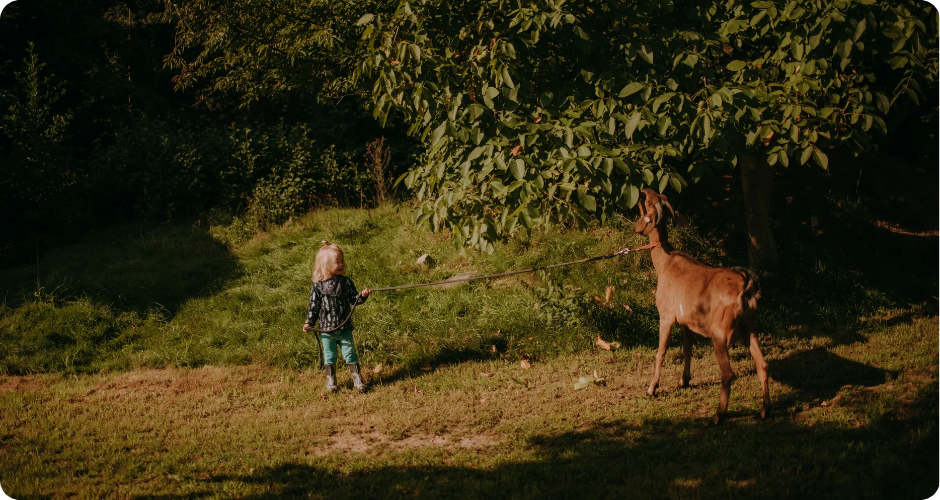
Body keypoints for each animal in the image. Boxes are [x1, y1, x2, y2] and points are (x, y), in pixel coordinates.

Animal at [632, 187, 772, 422]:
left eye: (649, 201)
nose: (643, 190)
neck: (665, 262)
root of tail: (745, 287)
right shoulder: (687, 322)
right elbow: (687, 348)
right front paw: (684, 380)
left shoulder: (666, 316)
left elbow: (661, 352)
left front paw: (652, 388)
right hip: (749, 325)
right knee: (762, 364)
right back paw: (764, 410)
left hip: (719, 332)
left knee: (727, 373)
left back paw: (718, 416)